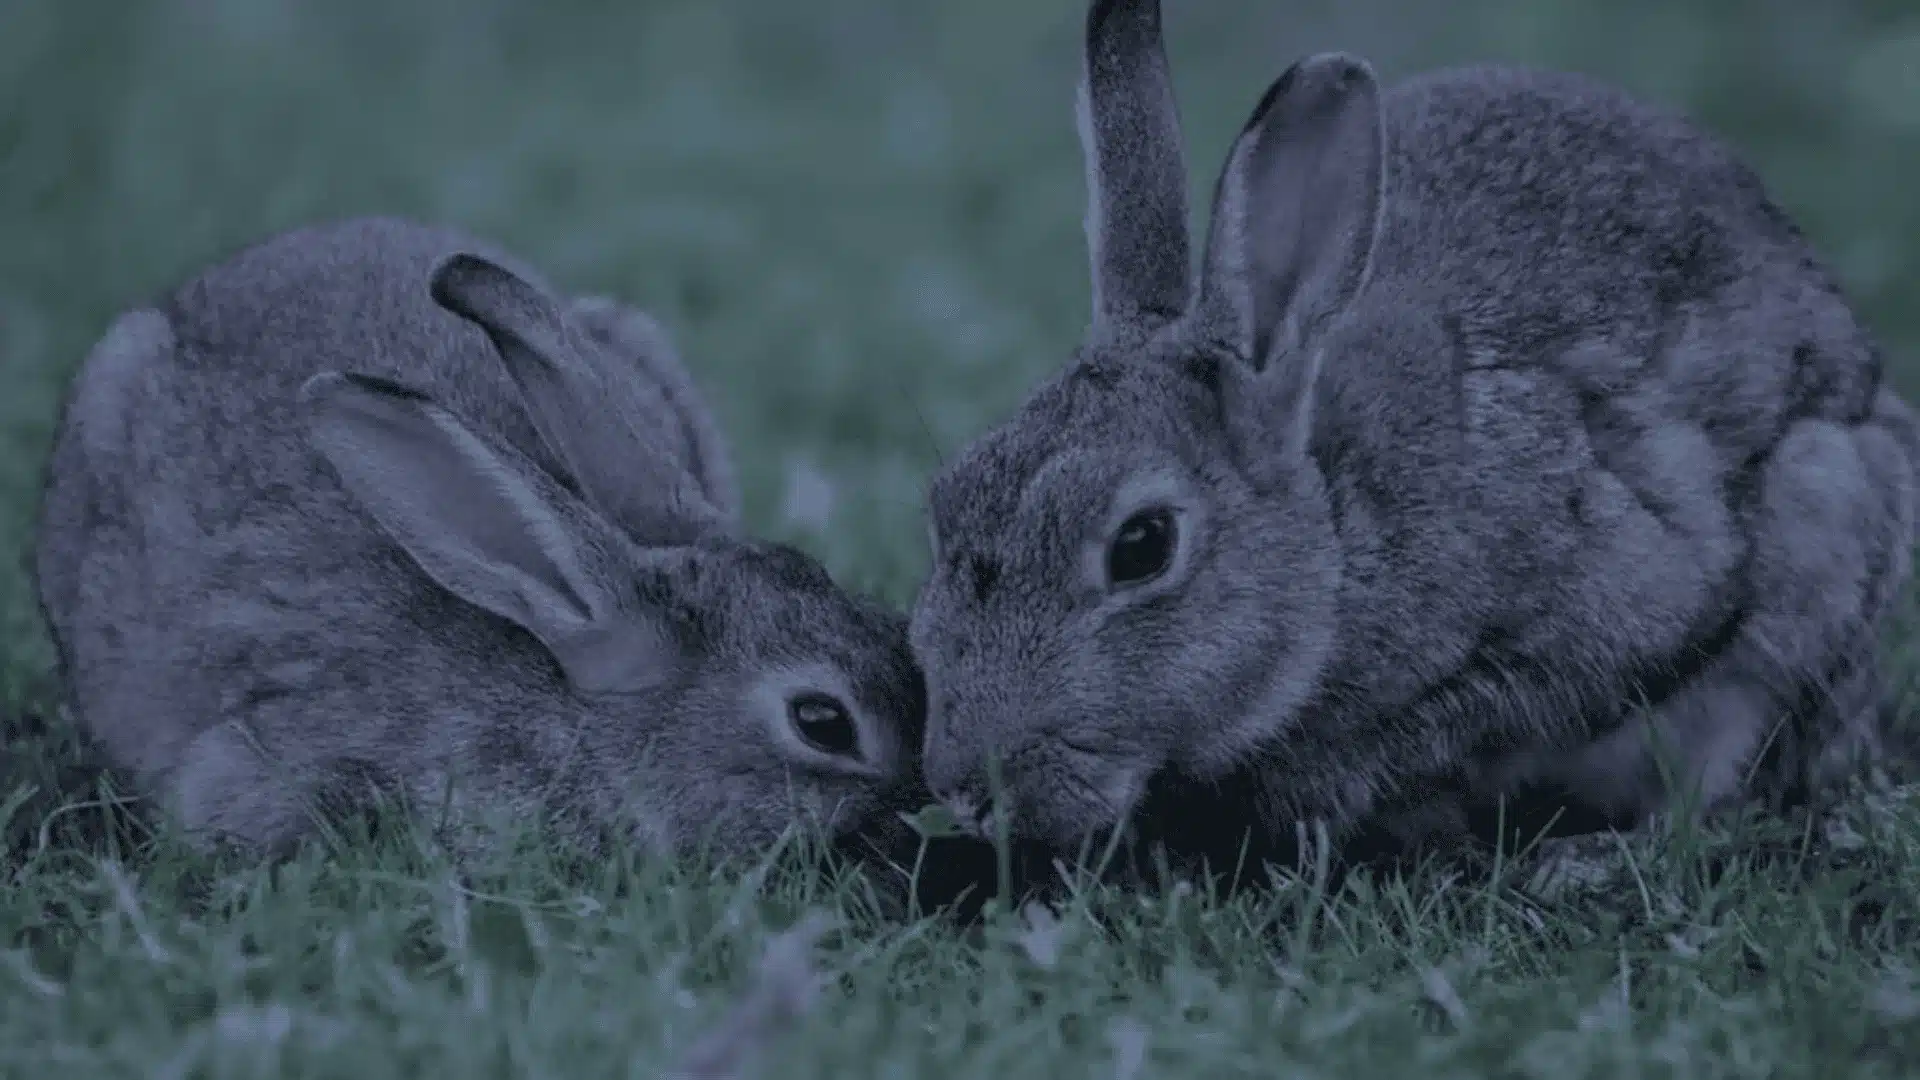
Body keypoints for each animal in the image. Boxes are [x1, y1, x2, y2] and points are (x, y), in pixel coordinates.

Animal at [906, 0, 1920, 865]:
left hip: (1821, 528)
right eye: (948, 501)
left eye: (1142, 546)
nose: (963, 785)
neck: (1336, 537)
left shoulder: (1623, 587)